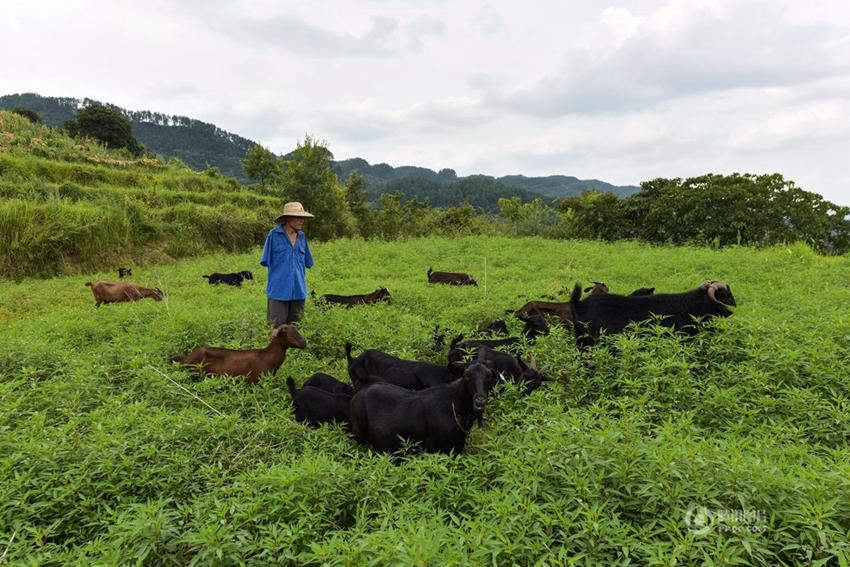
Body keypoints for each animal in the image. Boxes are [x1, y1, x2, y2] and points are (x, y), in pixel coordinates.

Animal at [171, 324, 306, 386]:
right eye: (288, 334)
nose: (304, 343)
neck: (267, 357)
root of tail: (185, 358)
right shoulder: (254, 382)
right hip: (194, 375)